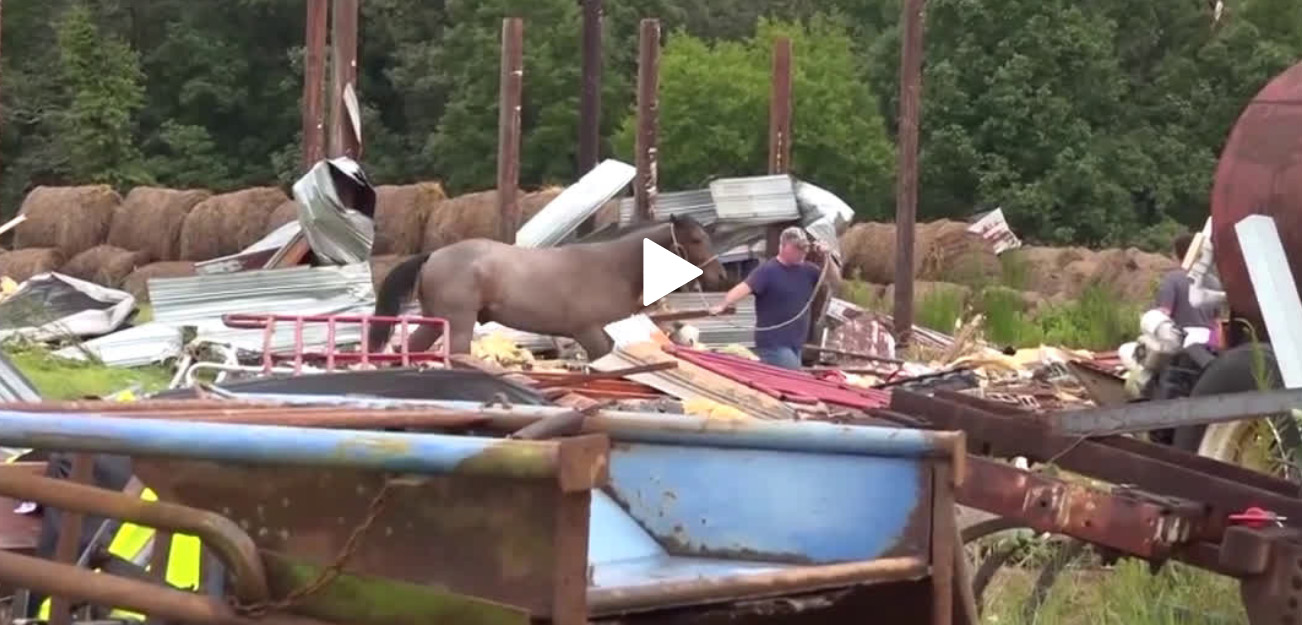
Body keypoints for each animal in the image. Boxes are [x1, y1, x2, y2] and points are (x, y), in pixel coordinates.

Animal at [372, 216, 729, 359]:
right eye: (696, 240)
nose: (720, 277)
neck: (613, 267)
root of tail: (434, 255)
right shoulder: (588, 331)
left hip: (435, 321)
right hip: (458, 323)